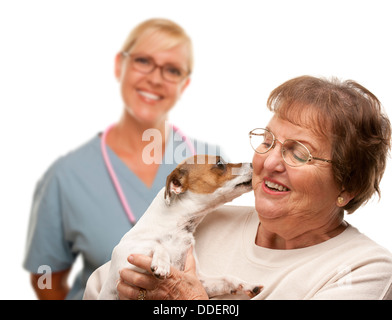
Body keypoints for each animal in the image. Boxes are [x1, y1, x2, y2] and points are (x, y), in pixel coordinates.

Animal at [98, 156, 264, 300]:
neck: (178, 229)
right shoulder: (125, 266)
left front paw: (246, 285)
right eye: (219, 163)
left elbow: (226, 278)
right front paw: (161, 263)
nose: (253, 163)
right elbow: (157, 245)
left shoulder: (199, 281)